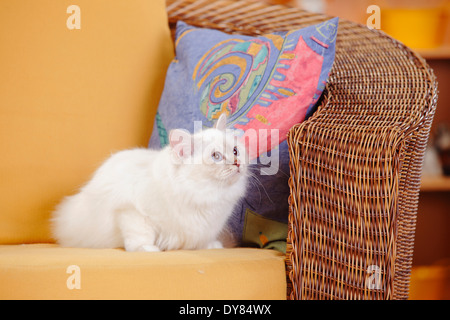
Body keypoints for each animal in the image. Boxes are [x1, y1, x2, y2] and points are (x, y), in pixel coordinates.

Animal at [53, 114, 250, 251]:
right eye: (216, 156)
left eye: (235, 151)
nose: (237, 163)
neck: (204, 193)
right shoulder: (131, 210)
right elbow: (140, 235)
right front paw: (147, 249)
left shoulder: (207, 228)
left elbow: (203, 240)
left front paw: (211, 246)